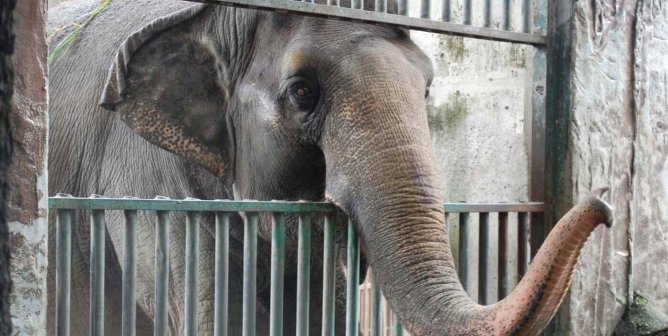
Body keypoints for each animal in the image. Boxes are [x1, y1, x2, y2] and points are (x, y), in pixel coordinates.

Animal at [45, 0, 612, 334]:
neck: (217, 18)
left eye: (428, 88)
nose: (603, 203)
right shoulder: (147, 183)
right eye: (302, 92)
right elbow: (213, 312)